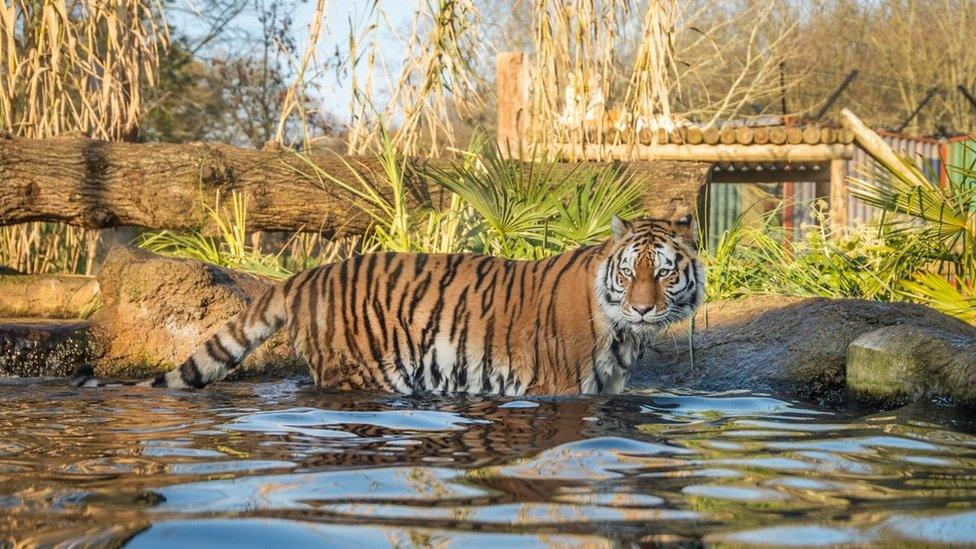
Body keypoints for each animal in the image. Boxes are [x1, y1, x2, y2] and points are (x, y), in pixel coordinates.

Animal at [101, 213, 700, 394]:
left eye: (664, 273)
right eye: (630, 272)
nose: (643, 308)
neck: (623, 332)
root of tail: (305, 274)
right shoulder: (557, 390)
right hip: (365, 372)